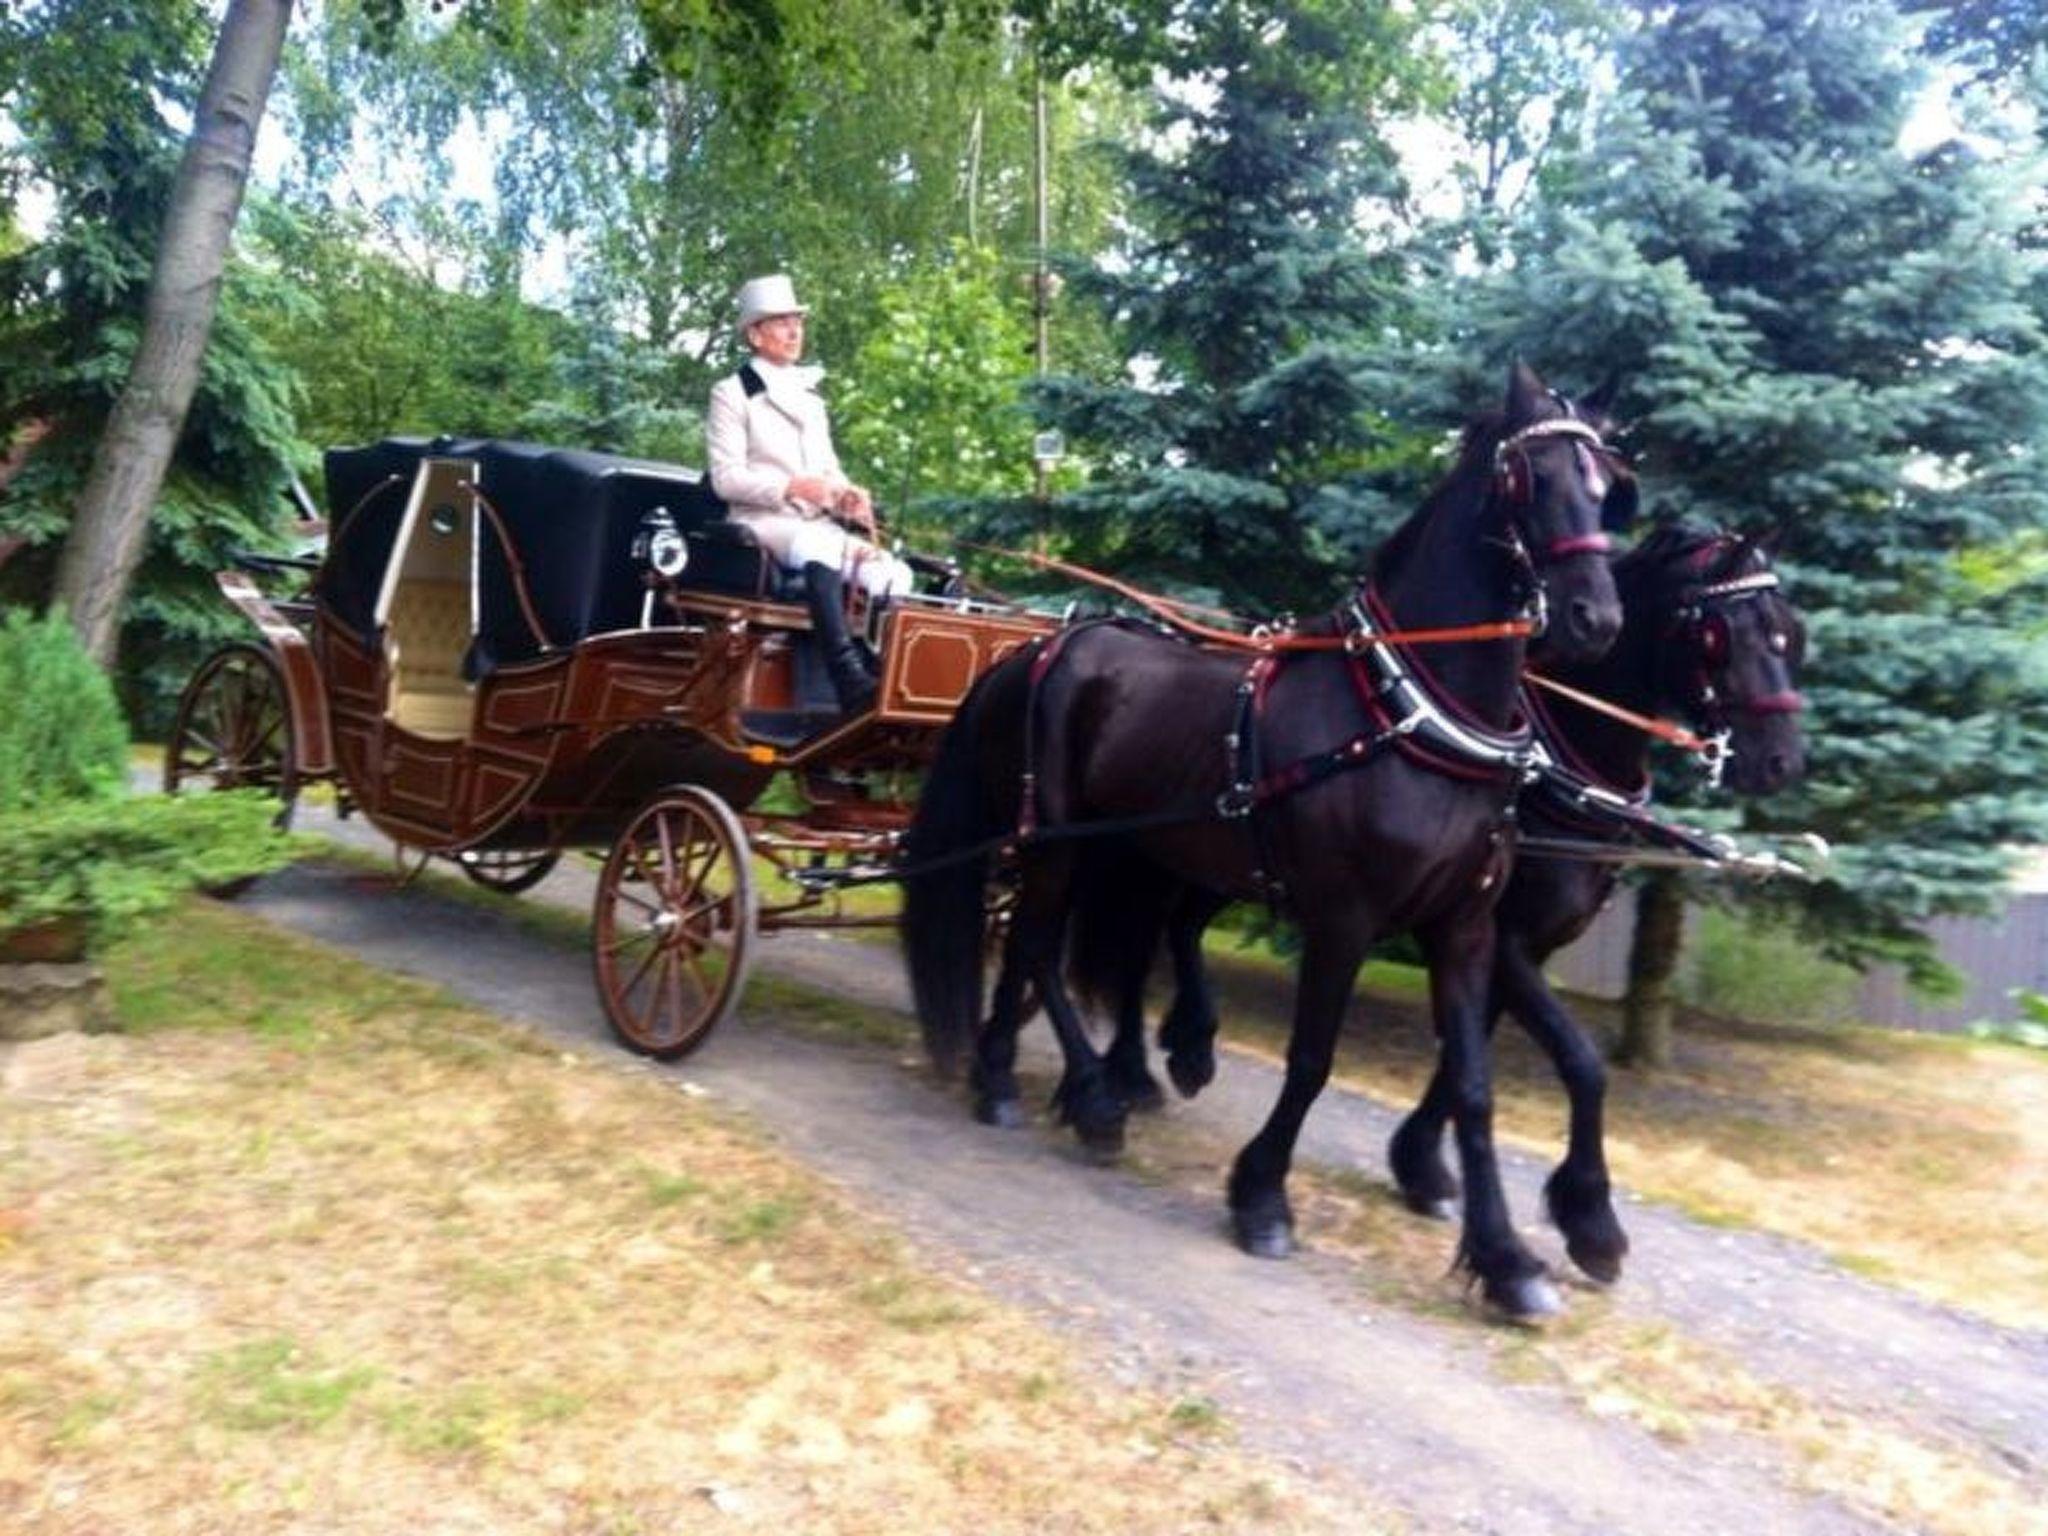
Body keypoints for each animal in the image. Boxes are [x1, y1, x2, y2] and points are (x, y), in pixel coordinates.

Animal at [905, 364, 1622, 1327]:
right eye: (1531, 476)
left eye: (1606, 484)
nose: (1596, 619)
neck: (1412, 713)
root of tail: (1047, 646)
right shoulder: (1345, 918)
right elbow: (1311, 1059)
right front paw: (1262, 1198)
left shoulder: (1466, 929)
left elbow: (1474, 1090)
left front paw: (1507, 1259)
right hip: (1052, 842)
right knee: (1038, 949)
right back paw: (1079, 1096)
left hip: (1112, 849)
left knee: (1044, 952)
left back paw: (1019, 1073)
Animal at [1073, 524, 1810, 1294]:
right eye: (1726, 633)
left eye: (1792, 634)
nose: (1783, 762)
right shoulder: (1506, 938)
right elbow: (1581, 1063)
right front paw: (1588, 1218)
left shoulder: (1505, 940)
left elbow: (1469, 1052)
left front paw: (1424, 1165)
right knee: (1142, 940)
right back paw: (1130, 1070)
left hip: (1223, 855)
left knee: (1175, 926)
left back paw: (1181, 1047)